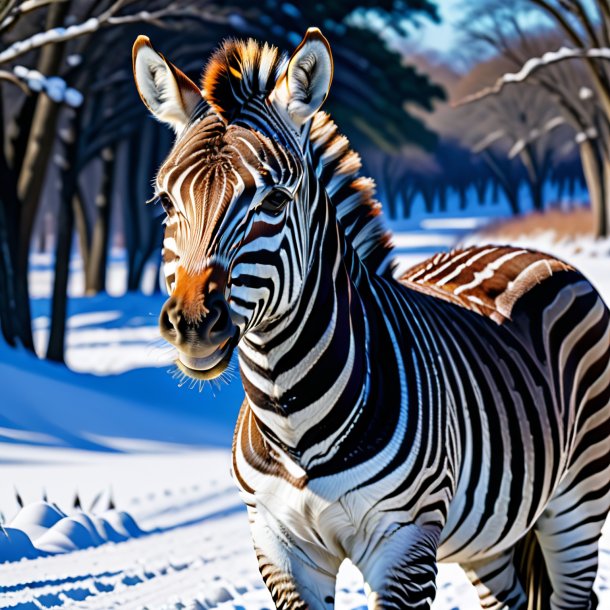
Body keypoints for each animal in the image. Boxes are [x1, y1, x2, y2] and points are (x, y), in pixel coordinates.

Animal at [133, 28, 608, 608]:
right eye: (165, 201)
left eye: (274, 199)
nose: (194, 323)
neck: (293, 423)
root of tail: (527, 251)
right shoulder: (280, 545)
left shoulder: (404, 544)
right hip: (490, 538)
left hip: (578, 501)